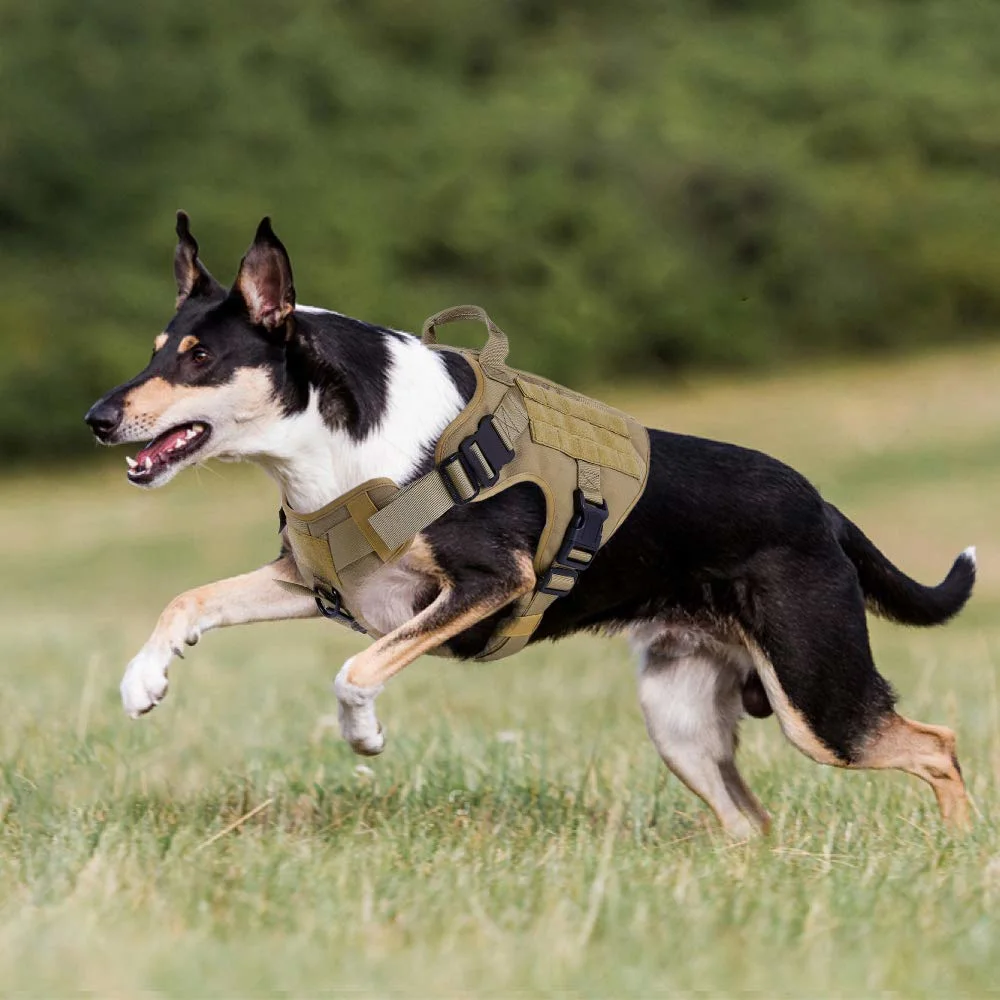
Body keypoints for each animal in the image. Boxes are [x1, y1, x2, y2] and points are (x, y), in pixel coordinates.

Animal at [86, 215, 976, 840]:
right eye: (158, 348)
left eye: (200, 357)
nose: (98, 418)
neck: (337, 441)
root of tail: (822, 508)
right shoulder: (319, 581)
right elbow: (190, 599)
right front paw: (142, 681)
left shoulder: (484, 582)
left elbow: (355, 669)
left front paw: (363, 735)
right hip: (681, 721)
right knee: (751, 820)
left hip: (818, 702)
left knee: (938, 742)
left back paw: (959, 856)